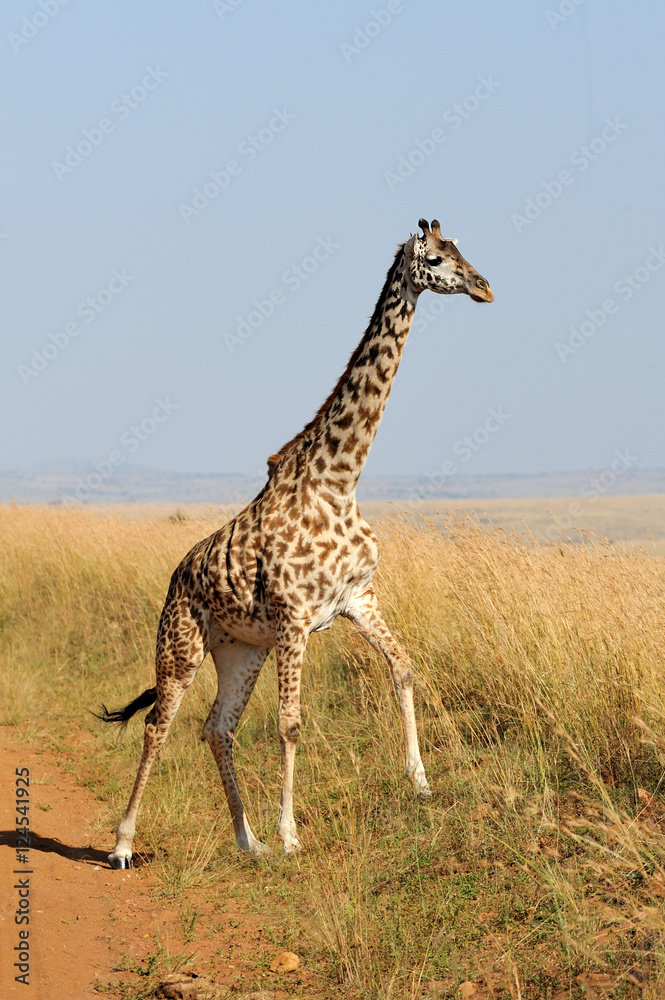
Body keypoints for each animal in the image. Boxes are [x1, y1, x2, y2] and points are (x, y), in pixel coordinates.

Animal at [100, 218, 493, 868]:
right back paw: (125, 843)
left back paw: (247, 840)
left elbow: (405, 668)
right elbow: (290, 723)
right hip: (182, 644)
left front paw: (420, 781)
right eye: (436, 259)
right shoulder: (294, 616)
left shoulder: (357, 599)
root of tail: (177, 577)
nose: (485, 287)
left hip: (240, 649)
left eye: (463, 248)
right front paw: (291, 834)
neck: (340, 480)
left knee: (217, 728)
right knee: (159, 722)